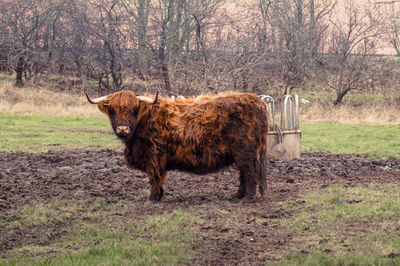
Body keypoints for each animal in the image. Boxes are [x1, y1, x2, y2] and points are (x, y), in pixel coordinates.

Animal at [87, 90, 268, 201]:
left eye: (134, 110)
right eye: (112, 110)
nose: (122, 129)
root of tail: (256, 100)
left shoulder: (154, 155)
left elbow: (155, 177)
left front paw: (153, 198)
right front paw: (159, 195)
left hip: (245, 151)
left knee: (249, 172)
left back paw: (247, 198)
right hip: (242, 153)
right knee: (244, 173)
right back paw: (237, 196)